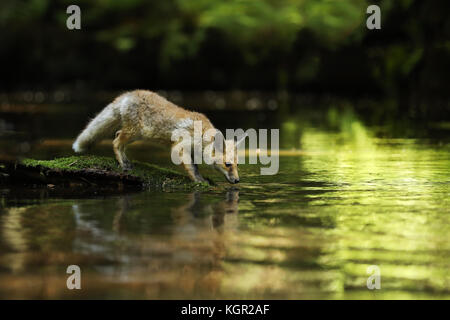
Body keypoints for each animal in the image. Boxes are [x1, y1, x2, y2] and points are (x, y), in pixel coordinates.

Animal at [71, 91, 239, 184]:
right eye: (228, 164)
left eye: (237, 165)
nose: (238, 180)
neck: (200, 133)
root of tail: (130, 93)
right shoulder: (179, 147)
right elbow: (191, 168)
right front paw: (198, 181)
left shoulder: (190, 151)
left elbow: (195, 166)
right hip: (134, 132)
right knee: (116, 140)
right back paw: (123, 163)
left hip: (135, 135)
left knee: (118, 136)